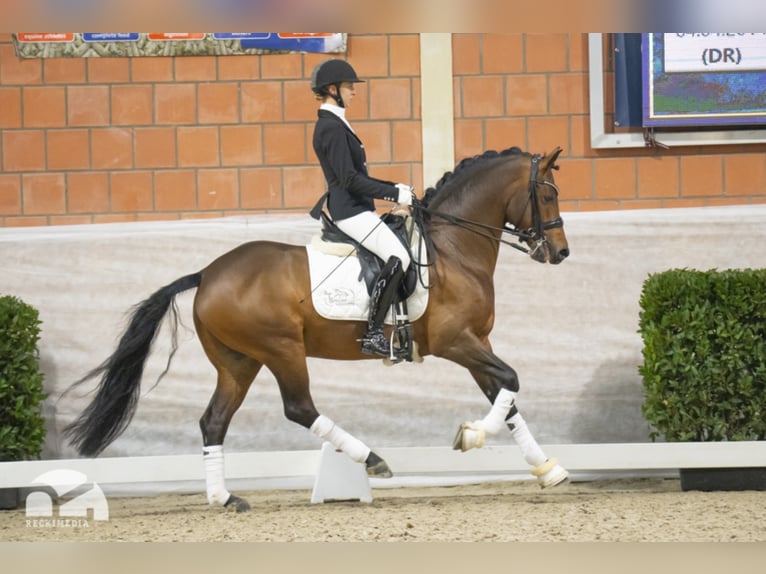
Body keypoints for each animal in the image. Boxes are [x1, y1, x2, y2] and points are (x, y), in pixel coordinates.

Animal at [64, 144, 568, 512]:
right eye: (547, 195)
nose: (560, 253)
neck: (452, 249)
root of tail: (206, 274)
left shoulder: (477, 341)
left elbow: (505, 397)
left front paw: (547, 469)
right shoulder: (455, 342)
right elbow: (510, 380)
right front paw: (471, 435)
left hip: (238, 362)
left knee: (214, 421)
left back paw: (224, 498)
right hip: (281, 349)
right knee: (299, 408)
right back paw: (371, 459)